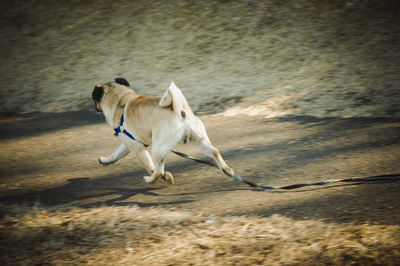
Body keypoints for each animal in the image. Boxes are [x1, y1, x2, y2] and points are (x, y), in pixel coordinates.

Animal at [92, 78, 236, 184]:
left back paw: (150, 179)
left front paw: (165, 177)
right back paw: (227, 170)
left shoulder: (137, 148)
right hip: (199, 141)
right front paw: (106, 160)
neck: (121, 100)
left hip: (157, 148)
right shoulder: (128, 143)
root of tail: (179, 112)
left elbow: (150, 167)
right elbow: (116, 154)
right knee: (214, 151)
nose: (95, 107)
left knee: (158, 170)